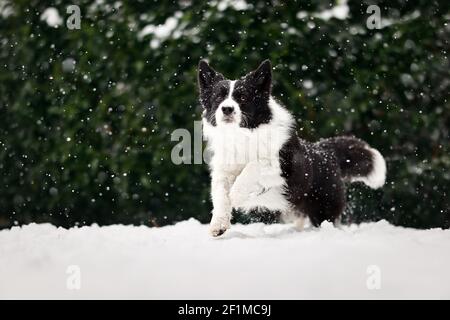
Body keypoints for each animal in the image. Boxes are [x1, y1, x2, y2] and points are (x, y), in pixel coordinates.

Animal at [198, 59, 386, 235]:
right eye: (218, 98)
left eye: (243, 97)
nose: (227, 109)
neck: (241, 135)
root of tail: (324, 150)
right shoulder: (223, 171)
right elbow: (220, 194)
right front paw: (218, 225)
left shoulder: (283, 165)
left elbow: (253, 167)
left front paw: (236, 195)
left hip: (323, 205)